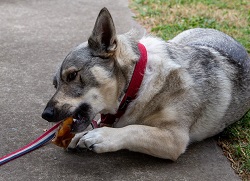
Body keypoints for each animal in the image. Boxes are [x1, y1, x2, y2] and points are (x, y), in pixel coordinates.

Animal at [41, 7, 250, 160]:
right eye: (55, 84)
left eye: (72, 75)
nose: (46, 114)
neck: (138, 83)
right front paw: (80, 135)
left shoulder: (175, 139)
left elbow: (134, 130)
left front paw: (102, 136)